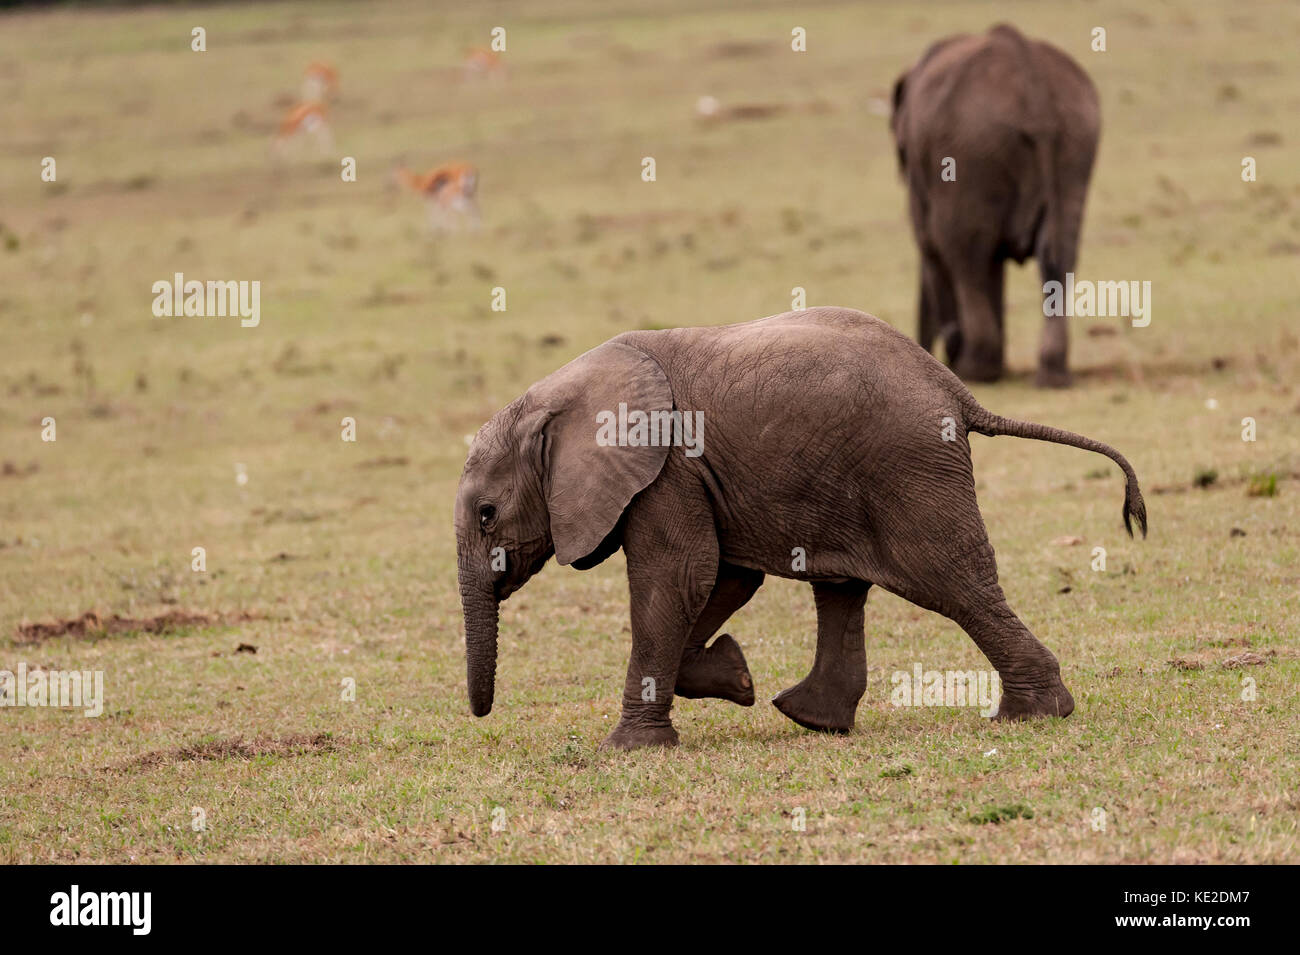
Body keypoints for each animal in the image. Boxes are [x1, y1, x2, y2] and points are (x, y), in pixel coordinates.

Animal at [454, 307, 1146, 750]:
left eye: (487, 514)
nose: (479, 715)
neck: (557, 397)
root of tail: (956, 390)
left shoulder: (666, 469)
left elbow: (679, 577)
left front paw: (627, 749)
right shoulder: (694, 475)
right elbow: (721, 579)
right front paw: (737, 679)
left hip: (907, 467)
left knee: (952, 583)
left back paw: (1033, 716)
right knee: (841, 588)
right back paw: (813, 718)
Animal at [890, 24, 1101, 387]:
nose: (932, 352)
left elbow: (931, 245)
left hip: (969, 151)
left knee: (964, 255)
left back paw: (976, 370)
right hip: (1075, 142)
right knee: (1058, 257)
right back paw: (1051, 376)